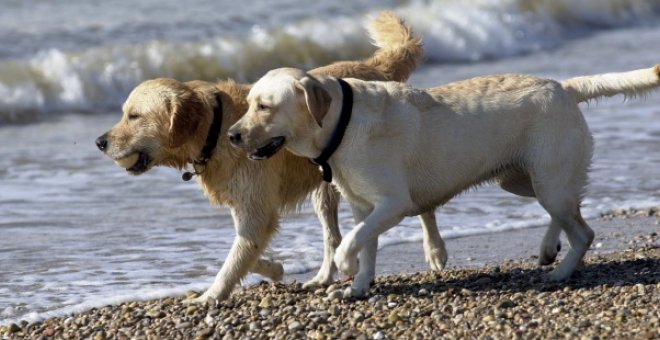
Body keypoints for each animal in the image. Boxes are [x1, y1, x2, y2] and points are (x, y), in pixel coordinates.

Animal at [228, 65, 660, 296]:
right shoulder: (365, 208)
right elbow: (367, 246)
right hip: (524, 179)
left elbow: (351, 242)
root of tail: (564, 86)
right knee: (571, 209)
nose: (231, 136)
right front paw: (359, 286)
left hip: (548, 178)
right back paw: (548, 248)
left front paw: (345, 264)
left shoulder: (392, 203)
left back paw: (560, 271)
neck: (341, 124)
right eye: (248, 104)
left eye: (264, 106)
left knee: (583, 230)